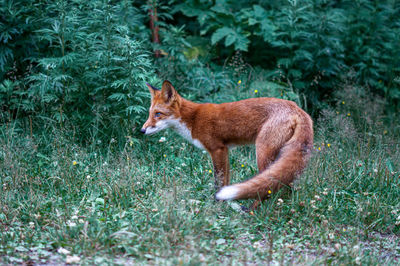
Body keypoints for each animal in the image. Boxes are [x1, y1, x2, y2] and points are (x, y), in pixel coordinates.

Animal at [141, 80, 312, 209]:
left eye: (158, 114)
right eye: (150, 114)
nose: (142, 130)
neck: (193, 119)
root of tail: (298, 109)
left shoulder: (217, 149)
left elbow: (219, 181)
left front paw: (216, 204)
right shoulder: (226, 151)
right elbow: (226, 181)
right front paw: (223, 203)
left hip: (262, 152)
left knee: (269, 186)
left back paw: (251, 210)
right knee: (285, 185)